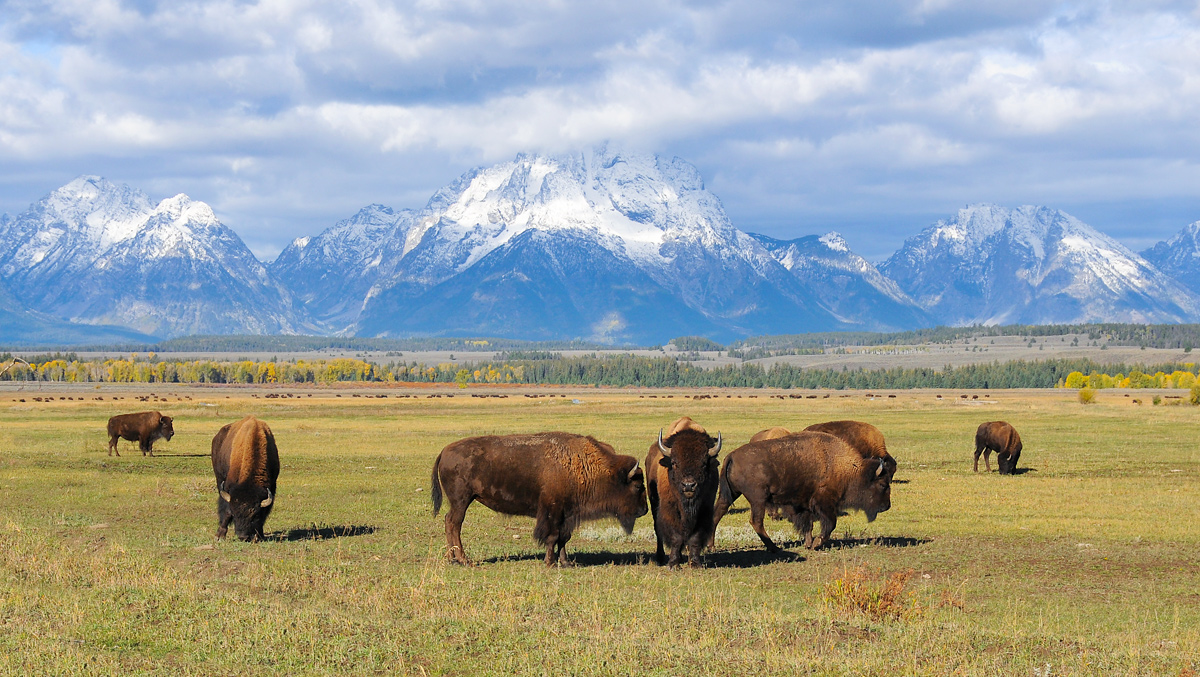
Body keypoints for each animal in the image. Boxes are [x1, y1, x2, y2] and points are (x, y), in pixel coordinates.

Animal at [431, 432, 648, 566]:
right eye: (638, 486)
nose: (644, 510)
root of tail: (444, 451)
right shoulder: (552, 511)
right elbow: (552, 536)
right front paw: (550, 562)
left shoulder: (567, 514)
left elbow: (564, 538)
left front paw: (566, 562)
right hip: (461, 501)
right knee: (454, 523)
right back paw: (463, 559)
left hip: (461, 501)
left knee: (449, 522)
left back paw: (452, 558)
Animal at [645, 417, 721, 568]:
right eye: (674, 463)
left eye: (703, 463)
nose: (689, 485)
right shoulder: (670, 510)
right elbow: (676, 537)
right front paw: (674, 564)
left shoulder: (705, 510)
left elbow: (695, 537)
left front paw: (695, 563)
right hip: (654, 502)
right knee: (658, 530)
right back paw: (660, 557)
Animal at [711, 431, 893, 551]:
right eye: (883, 484)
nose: (887, 506)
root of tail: (731, 456)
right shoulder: (824, 503)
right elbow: (830, 524)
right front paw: (817, 543)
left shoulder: (805, 504)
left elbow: (808, 524)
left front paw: (808, 543)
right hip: (758, 500)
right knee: (756, 521)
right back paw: (774, 548)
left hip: (730, 494)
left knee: (716, 514)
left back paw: (711, 546)